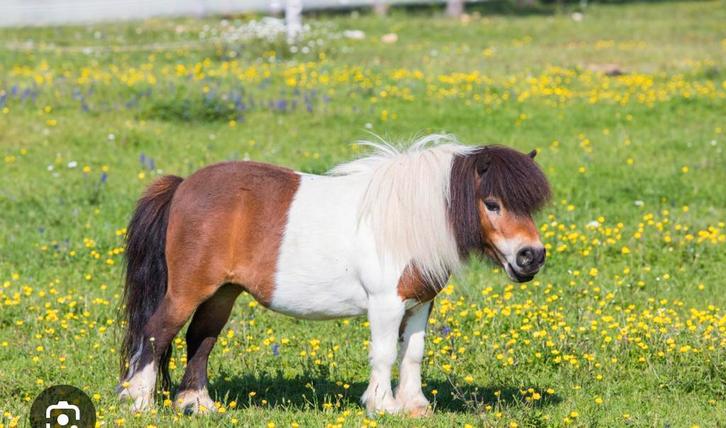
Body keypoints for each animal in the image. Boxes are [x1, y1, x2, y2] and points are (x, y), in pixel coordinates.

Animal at [117, 135, 551, 416]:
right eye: (492, 203)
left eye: (530, 206)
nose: (531, 257)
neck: (407, 219)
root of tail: (182, 186)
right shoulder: (386, 303)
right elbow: (385, 352)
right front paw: (383, 406)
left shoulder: (419, 303)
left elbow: (413, 352)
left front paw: (415, 405)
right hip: (188, 289)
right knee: (156, 332)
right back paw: (139, 402)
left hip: (223, 292)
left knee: (200, 338)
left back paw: (198, 404)